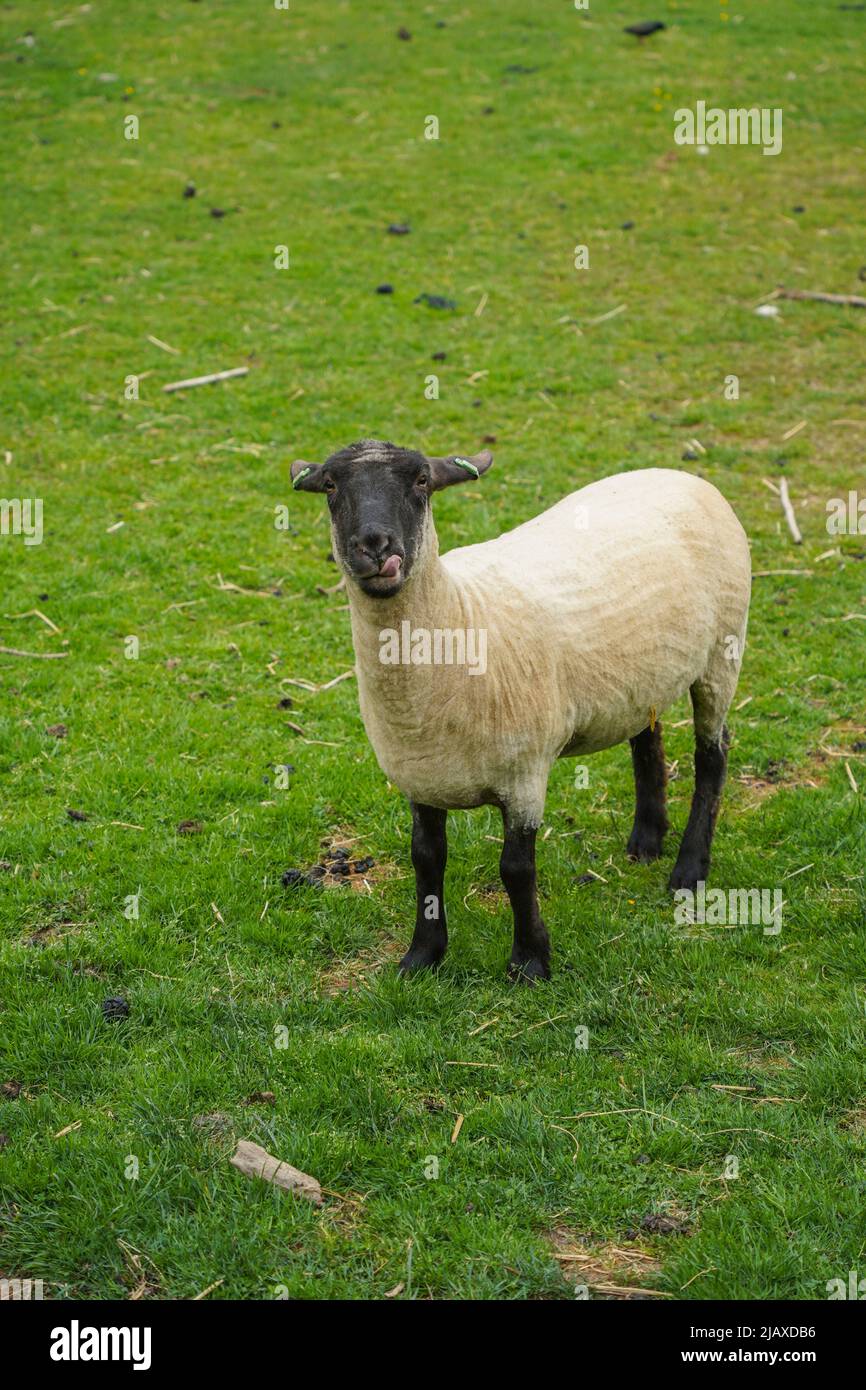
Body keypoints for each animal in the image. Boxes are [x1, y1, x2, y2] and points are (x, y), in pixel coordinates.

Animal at [291, 440, 751, 981]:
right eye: (330, 485)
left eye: (422, 480)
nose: (375, 545)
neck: (458, 616)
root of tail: (679, 475)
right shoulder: (420, 774)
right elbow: (426, 859)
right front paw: (422, 955)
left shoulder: (525, 774)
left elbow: (515, 869)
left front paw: (530, 960)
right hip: (641, 677)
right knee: (646, 737)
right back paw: (646, 839)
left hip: (723, 651)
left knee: (713, 755)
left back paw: (689, 869)